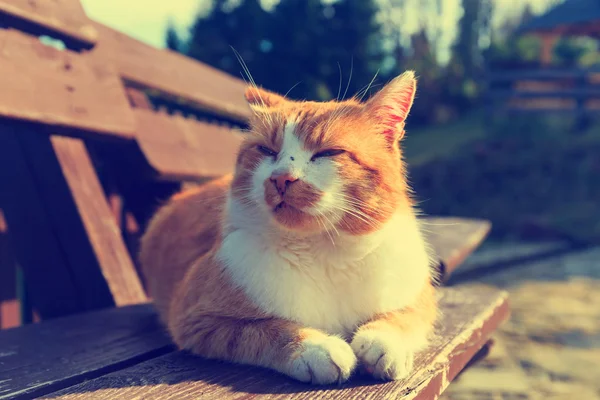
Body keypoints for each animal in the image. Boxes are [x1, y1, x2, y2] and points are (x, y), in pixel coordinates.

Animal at [139, 71, 438, 384]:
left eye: (328, 152)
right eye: (266, 150)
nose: (281, 178)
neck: (325, 252)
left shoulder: (422, 297)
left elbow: (404, 317)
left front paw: (384, 342)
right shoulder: (195, 318)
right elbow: (260, 330)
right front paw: (316, 348)